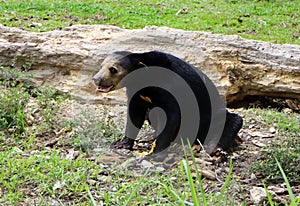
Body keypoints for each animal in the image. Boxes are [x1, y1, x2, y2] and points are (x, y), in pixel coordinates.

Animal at [92, 51, 243, 154]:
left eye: (113, 69)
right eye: (100, 66)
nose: (96, 79)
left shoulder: (172, 89)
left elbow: (172, 117)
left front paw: (154, 151)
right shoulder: (137, 94)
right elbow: (135, 114)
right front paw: (122, 144)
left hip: (212, 117)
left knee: (232, 121)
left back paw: (217, 149)